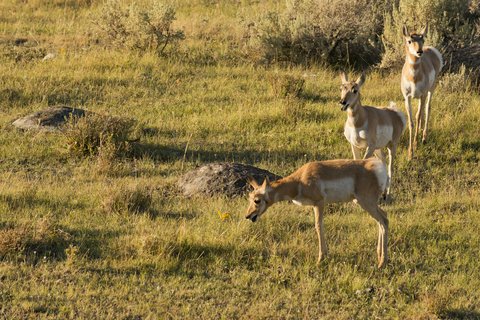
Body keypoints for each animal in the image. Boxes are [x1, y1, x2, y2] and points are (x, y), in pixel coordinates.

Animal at [248, 159, 390, 268]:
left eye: (257, 200)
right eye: (249, 197)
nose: (248, 216)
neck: (299, 180)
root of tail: (377, 167)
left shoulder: (319, 203)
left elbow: (318, 226)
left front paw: (320, 259)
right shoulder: (315, 205)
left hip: (366, 202)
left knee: (384, 220)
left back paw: (382, 263)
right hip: (366, 203)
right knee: (382, 220)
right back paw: (379, 256)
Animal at [338, 71, 404, 199]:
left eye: (355, 90)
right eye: (342, 88)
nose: (342, 102)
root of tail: (395, 113)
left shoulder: (370, 146)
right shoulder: (354, 145)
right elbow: (356, 161)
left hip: (391, 146)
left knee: (390, 167)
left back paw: (387, 194)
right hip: (378, 149)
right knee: (383, 161)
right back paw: (382, 193)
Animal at [402, 24, 442, 160]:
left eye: (422, 39)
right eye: (409, 40)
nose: (420, 52)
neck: (413, 77)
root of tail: (431, 50)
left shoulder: (422, 94)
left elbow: (419, 116)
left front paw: (414, 147)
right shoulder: (407, 97)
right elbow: (411, 121)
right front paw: (410, 153)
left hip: (430, 90)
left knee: (427, 108)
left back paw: (424, 138)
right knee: (421, 112)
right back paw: (420, 133)